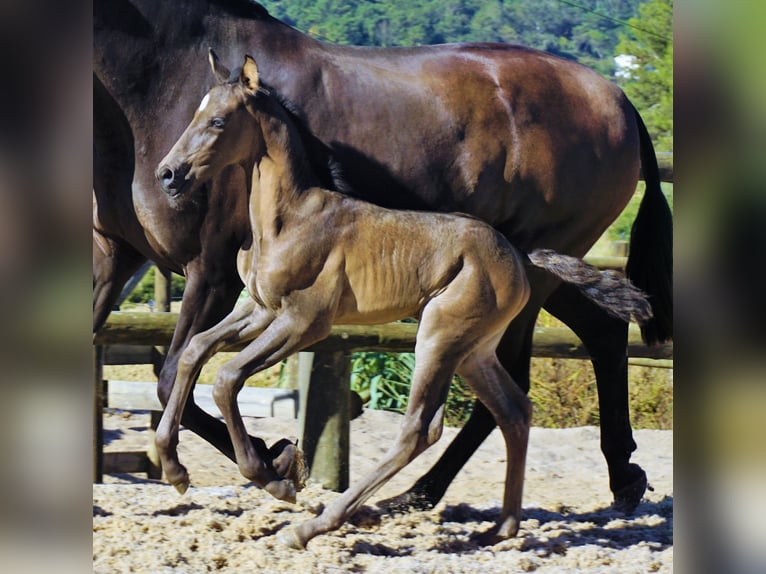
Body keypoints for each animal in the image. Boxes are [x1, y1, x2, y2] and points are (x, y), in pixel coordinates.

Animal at [156, 55, 656, 552]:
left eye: (218, 121)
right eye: (195, 112)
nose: (168, 174)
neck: (290, 217)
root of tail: (517, 251)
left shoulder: (303, 321)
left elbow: (226, 377)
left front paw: (274, 478)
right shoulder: (259, 309)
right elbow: (194, 352)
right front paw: (174, 468)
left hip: (438, 335)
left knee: (420, 428)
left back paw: (320, 524)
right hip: (473, 349)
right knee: (514, 411)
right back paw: (500, 529)